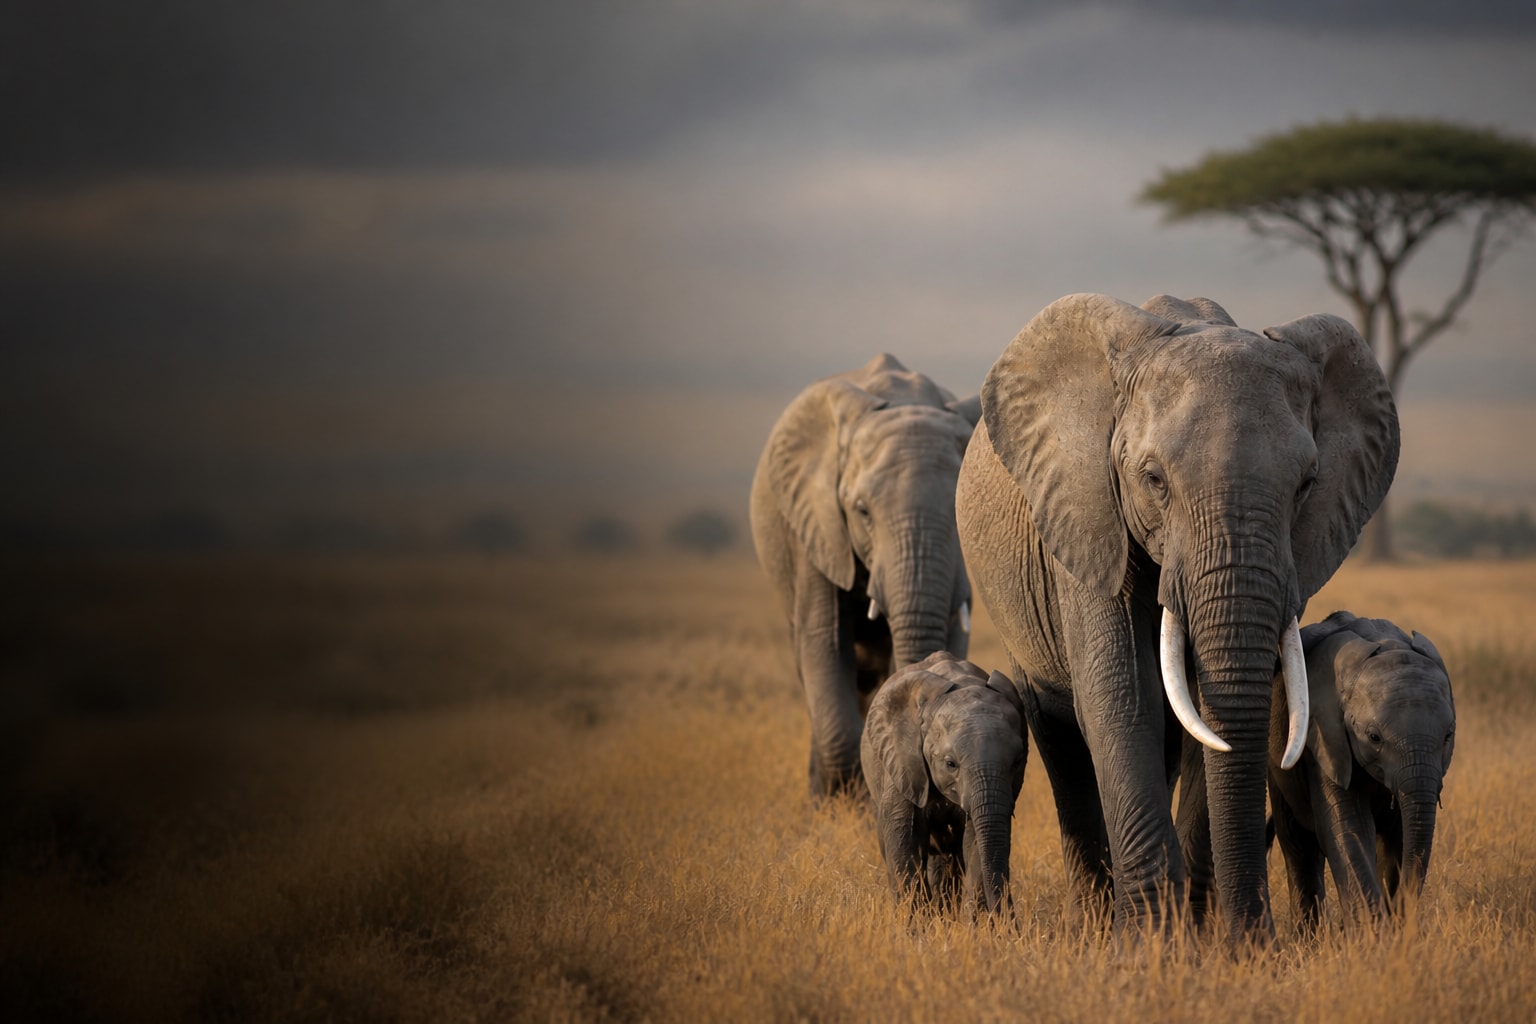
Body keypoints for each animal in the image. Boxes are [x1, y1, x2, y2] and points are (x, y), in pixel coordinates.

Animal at [860, 651, 1028, 915]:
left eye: (1017, 762)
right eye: (951, 764)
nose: (1010, 919)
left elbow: (975, 841)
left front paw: (972, 923)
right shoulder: (904, 764)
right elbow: (904, 838)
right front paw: (915, 923)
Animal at [955, 293, 1399, 941]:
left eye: (1307, 484)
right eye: (1153, 480)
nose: (1254, 939)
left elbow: (1203, 720)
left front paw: (1208, 943)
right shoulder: (1090, 514)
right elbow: (1124, 698)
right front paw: (1148, 946)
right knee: (1059, 732)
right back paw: (1095, 925)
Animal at [1268, 611, 1455, 934]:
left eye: (1448, 736)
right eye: (1374, 737)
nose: (1401, 912)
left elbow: (1400, 834)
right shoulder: (1324, 739)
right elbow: (1349, 826)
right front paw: (1372, 937)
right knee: (1297, 843)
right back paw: (1308, 939)